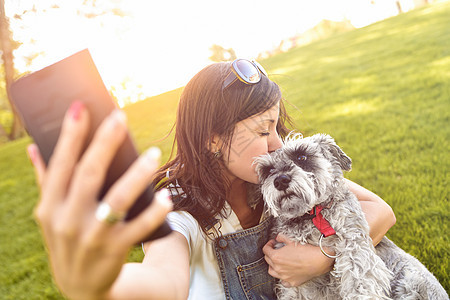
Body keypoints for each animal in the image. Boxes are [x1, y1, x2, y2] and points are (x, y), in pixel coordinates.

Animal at [253, 134, 446, 300]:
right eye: (268, 169)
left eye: (302, 156)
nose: (280, 180)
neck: (312, 215)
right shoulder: (296, 280)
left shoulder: (353, 242)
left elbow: (360, 280)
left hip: (410, 279)